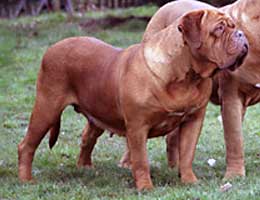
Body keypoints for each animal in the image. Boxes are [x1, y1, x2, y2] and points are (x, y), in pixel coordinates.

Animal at [18, 9, 248, 191]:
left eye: (234, 26)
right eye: (219, 28)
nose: (241, 34)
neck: (186, 75)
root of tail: (52, 47)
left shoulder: (193, 121)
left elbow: (187, 155)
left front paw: (190, 181)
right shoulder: (138, 127)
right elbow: (140, 160)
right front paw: (145, 187)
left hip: (97, 112)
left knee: (87, 138)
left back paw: (85, 168)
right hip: (47, 108)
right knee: (27, 145)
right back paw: (26, 180)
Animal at [120, 0, 260, 180]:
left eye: (234, 27)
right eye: (220, 28)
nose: (240, 34)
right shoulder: (232, 99)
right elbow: (235, 141)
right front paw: (234, 175)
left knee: (173, 137)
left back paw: (174, 166)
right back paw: (127, 163)